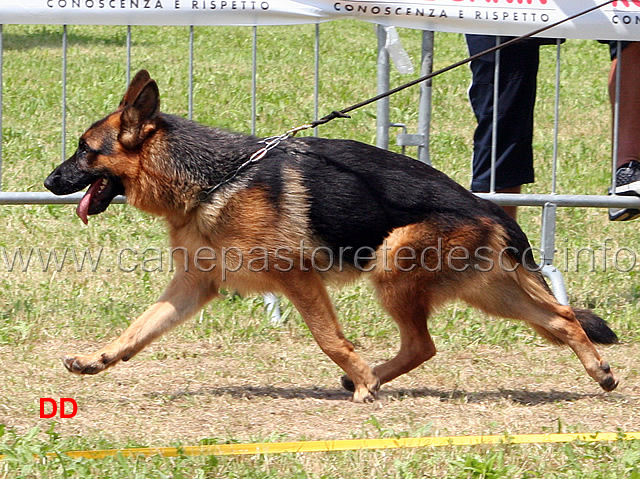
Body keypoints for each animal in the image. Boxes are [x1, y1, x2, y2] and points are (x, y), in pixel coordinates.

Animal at [42, 70, 616, 402]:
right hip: (484, 290)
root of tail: (486, 205)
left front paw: (360, 376)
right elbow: (137, 329)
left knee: (425, 342)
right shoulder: (194, 287)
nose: (47, 182)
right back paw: (601, 371)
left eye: (84, 149)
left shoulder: (298, 279)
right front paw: (96, 359)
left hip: (394, 265)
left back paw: (368, 381)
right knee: (559, 318)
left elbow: (329, 338)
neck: (213, 177)